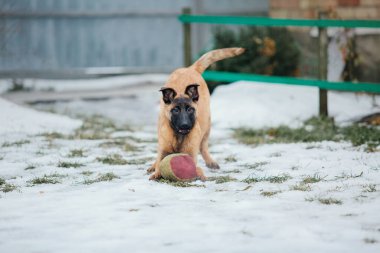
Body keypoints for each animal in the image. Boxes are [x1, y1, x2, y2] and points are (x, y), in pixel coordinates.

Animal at [147, 46, 245, 180]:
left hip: (207, 125)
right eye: (175, 110)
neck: (179, 137)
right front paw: (156, 172)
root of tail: (190, 68)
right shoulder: (163, 150)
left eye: (190, 109)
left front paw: (200, 174)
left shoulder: (192, 155)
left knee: (203, 147)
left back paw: (210, 162)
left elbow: (194, 166)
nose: (185, 125)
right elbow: (159, 162)